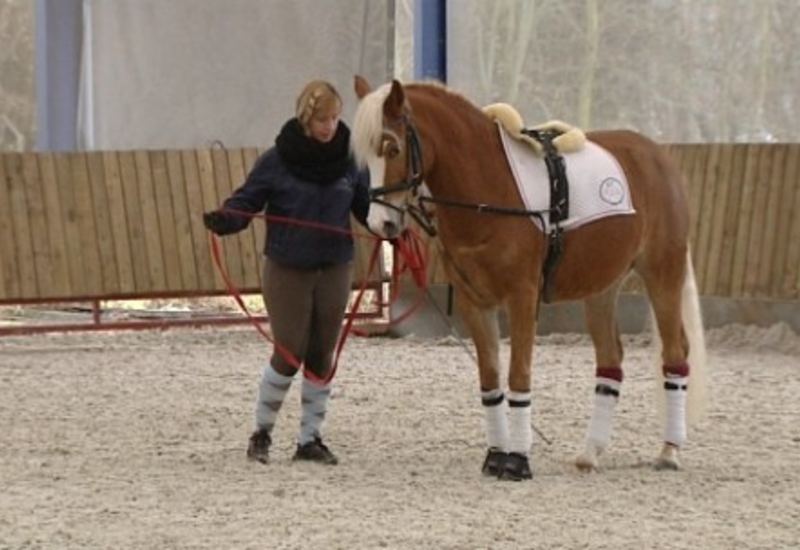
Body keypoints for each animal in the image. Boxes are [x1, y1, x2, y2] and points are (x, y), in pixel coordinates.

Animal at [352, 76, 708, 484]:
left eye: (392, 147)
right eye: (365, 157)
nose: (381, 224)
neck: (487, 189)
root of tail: (657, 155)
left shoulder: (522, 297)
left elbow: (518, 375)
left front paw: (518, 460)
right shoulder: (475, 302)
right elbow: (490, 379)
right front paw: (495, 457)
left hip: (662, 273)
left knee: (675, 354)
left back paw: (669, 451)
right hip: (602, 288)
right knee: (610, 361)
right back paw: (590, 454)